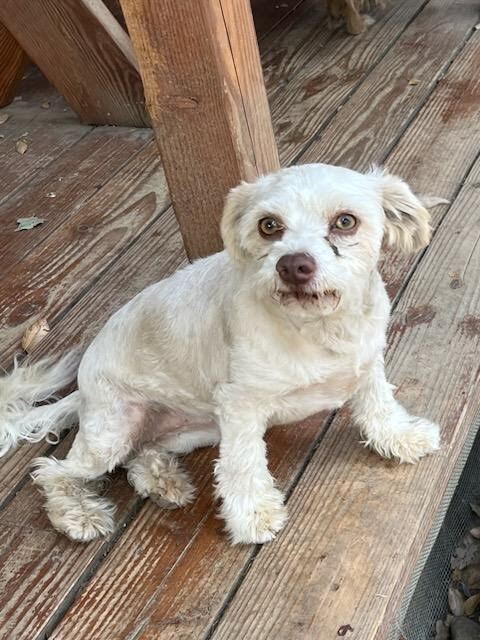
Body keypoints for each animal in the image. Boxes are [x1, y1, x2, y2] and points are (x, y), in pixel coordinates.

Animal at [0, 165, 440, 544]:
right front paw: (253, 517)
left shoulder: (368, 364)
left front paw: (402, 437)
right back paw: (77, 515)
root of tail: (82, 393)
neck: (321, 328)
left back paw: (162, 481)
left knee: (141, 452)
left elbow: (379, 406)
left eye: (345, 221)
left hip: (192, 428)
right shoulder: (240, 406)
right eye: (269, 225)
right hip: (113, 430)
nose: (293, 265)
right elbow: (244, 465)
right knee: (53, 471)